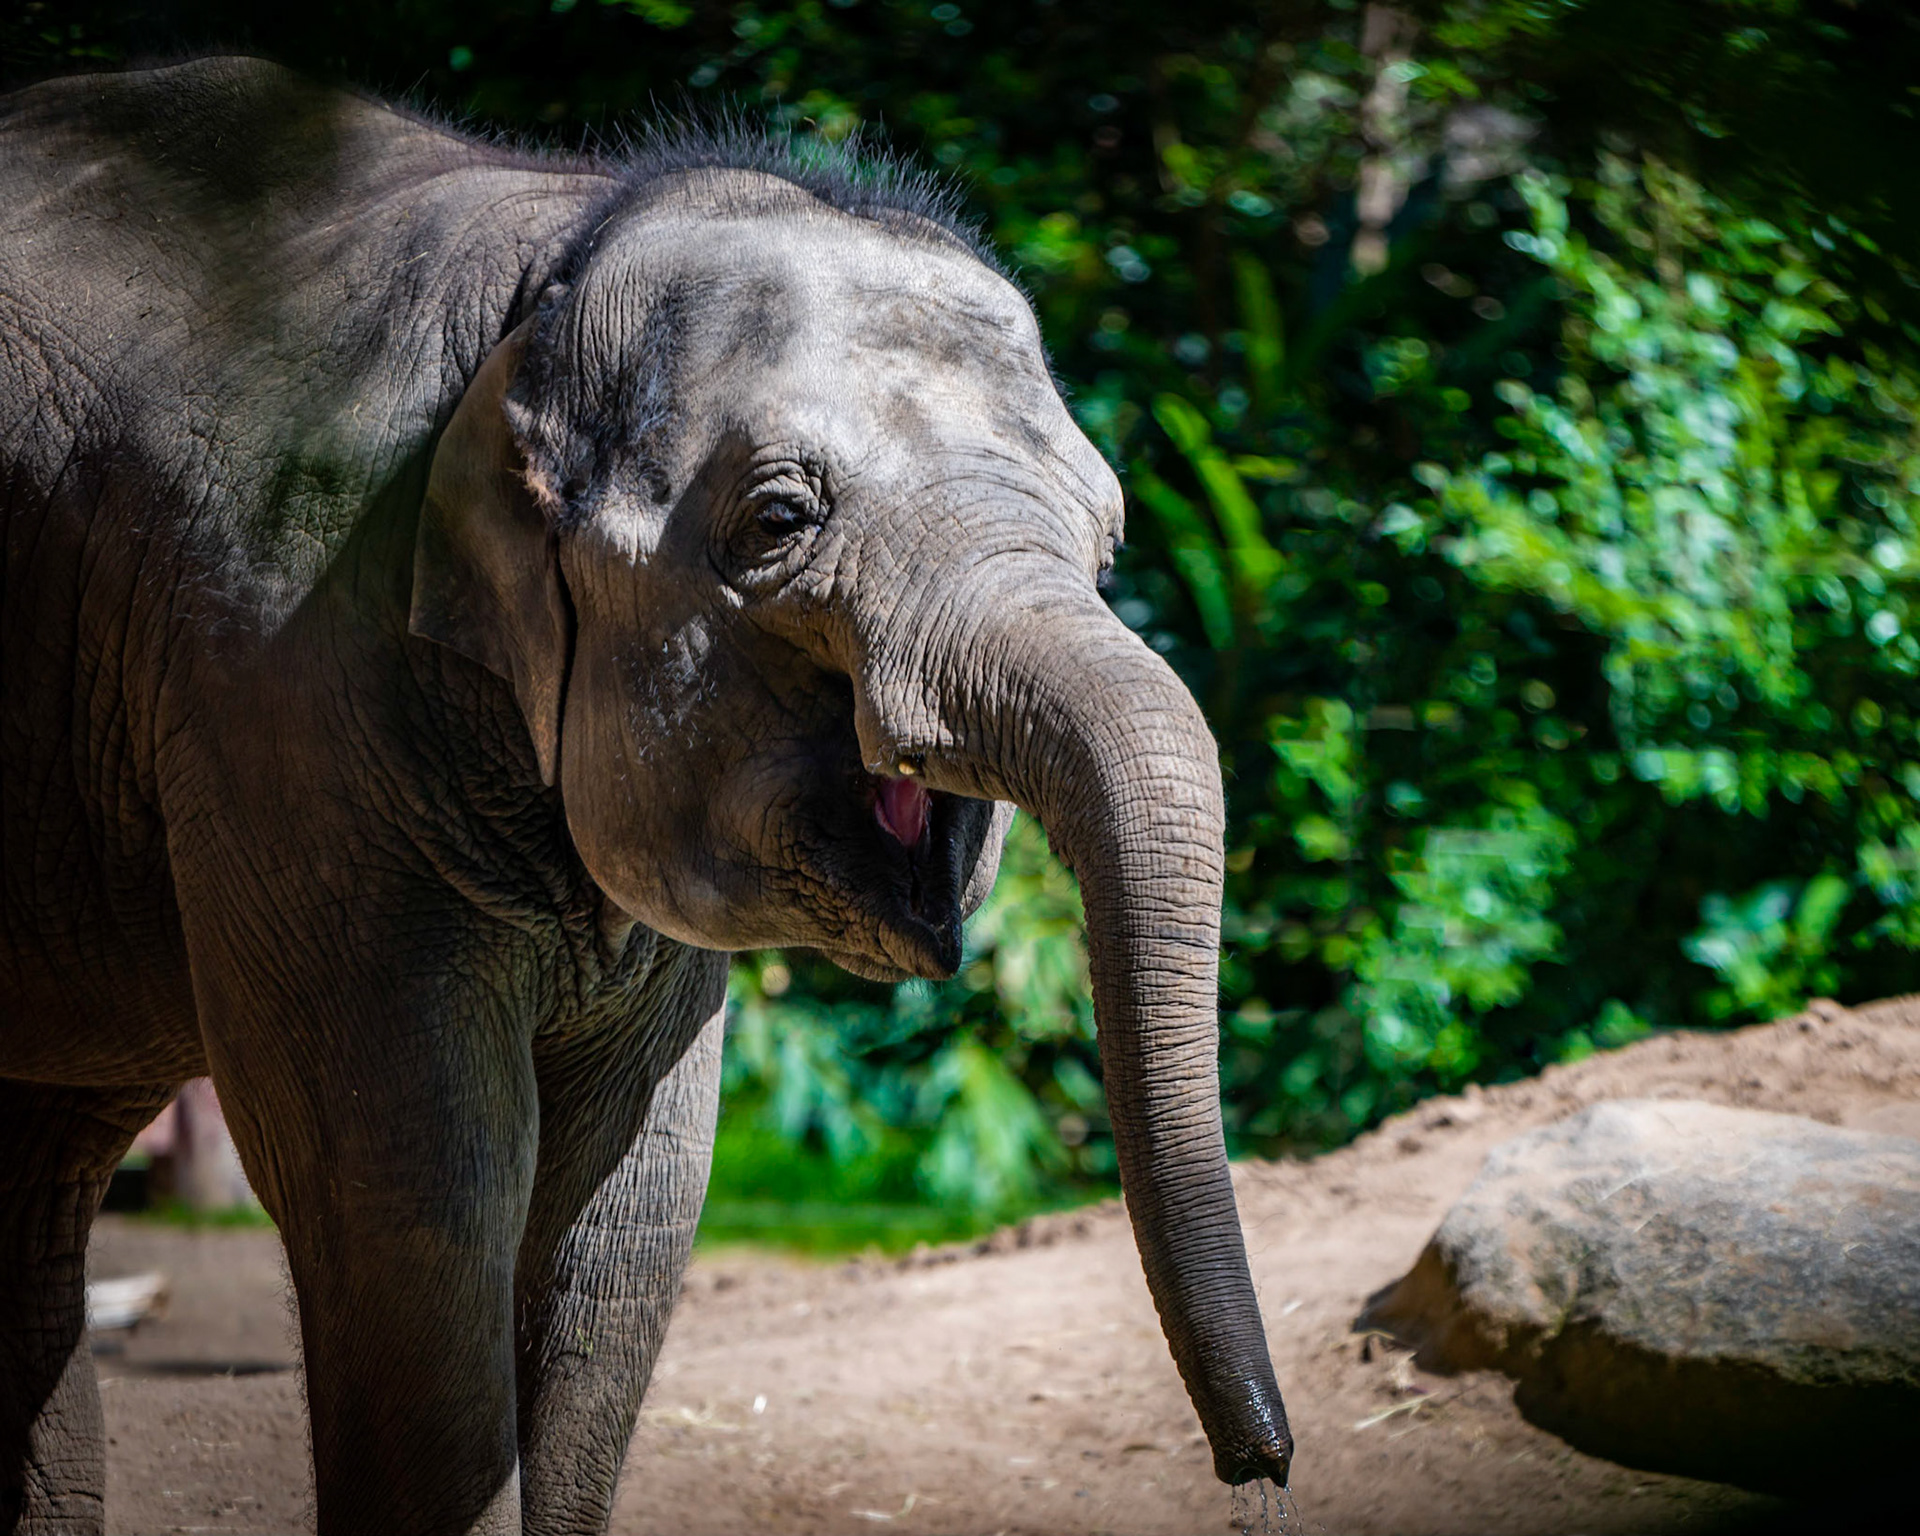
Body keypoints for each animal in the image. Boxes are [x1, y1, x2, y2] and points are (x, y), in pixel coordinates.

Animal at [0, 56, 1292, 1535]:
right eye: (779, 521)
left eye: (1110, 539)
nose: (1261, 1468)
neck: (547, 269)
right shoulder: (275, 688)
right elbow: (414, 1192)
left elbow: (628, 1215)